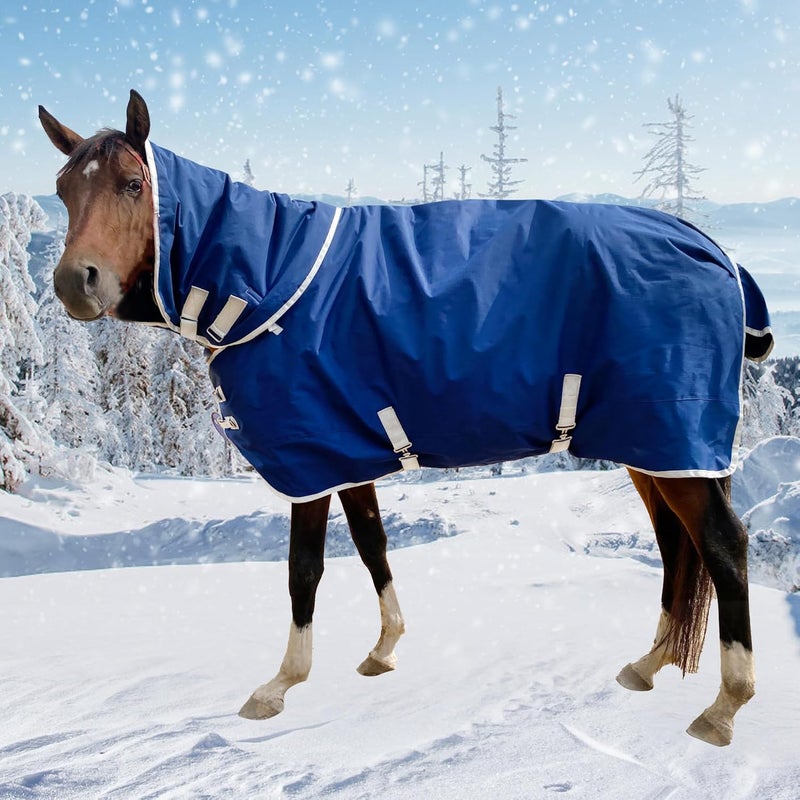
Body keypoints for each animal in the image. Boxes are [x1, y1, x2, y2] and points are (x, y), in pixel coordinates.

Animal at [39, 90, 774, 746]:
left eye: (134, 183)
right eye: (62, 190)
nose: (77, 282)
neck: (269, 282)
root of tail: (710, 247)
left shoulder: (310, 458)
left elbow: (303, 570)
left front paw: (280, 685)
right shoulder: (349, 453)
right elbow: (373, 546)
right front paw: (384, 648)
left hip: (674, 442)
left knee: (723, 547)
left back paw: (725, 708)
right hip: (653, 447)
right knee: (677, 546)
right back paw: (648, 665)